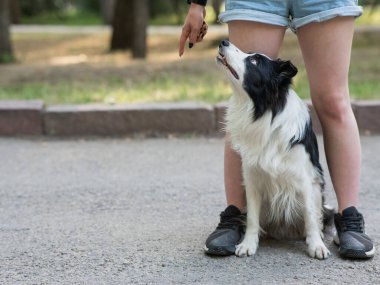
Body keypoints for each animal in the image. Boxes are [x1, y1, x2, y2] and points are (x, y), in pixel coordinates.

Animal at [217, 40, 332, 260]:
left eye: (254, 61)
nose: (223, 41)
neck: (266, 112)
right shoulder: (252, 178)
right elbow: (252, 217)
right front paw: (248, 244)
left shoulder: (306, 180)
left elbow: (310, 216)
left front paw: (316, 245)